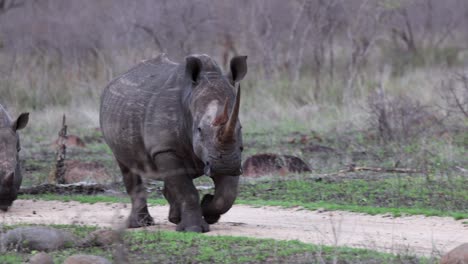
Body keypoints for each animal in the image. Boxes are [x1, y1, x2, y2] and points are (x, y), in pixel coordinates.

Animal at [100, 53, 247, 231]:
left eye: (240, 127)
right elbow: (186, 190)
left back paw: (174, 218)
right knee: (127, 165)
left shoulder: (228, 153)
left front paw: (207, 209)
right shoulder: (165, 148)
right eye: (199, 129)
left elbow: (226, 195)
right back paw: (140, 224)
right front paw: (194, 229)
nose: (225, 165)